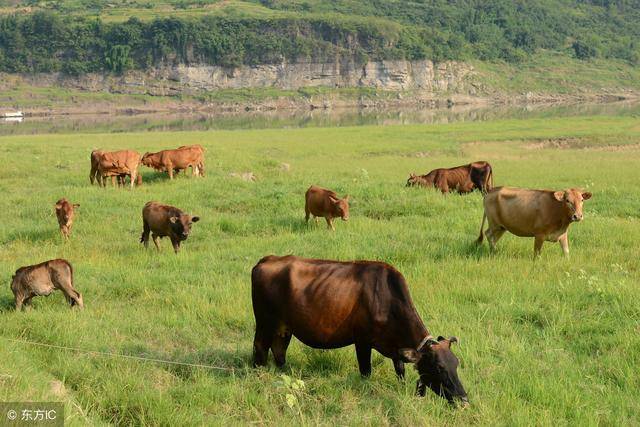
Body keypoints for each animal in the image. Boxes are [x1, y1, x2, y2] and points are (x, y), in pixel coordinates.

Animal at [252, 256, 468, 406]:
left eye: (456, 363)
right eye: (439, 367)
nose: (464, 400)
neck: (387, 298)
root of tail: (268, 259)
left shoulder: (396, 348)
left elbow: (400, 370)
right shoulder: (362, 341)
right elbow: (366, 371)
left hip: (283, 328)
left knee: (279, 350)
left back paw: (284, 374)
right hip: (264, 323)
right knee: (260, 349)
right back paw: (260, 377)